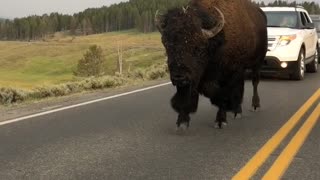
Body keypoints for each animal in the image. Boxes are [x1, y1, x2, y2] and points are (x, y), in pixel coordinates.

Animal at [155, 0, 268, 129]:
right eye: (167, 45)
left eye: (199, 48)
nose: (179, 77)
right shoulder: (191, 80)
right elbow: (185, 95)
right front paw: (182, 122)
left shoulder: (225, 76)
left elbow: (221, 94)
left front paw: (220, 121)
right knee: (240, 86)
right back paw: (237, 111)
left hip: (257, 62)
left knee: (254, 82)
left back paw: (255, 106)